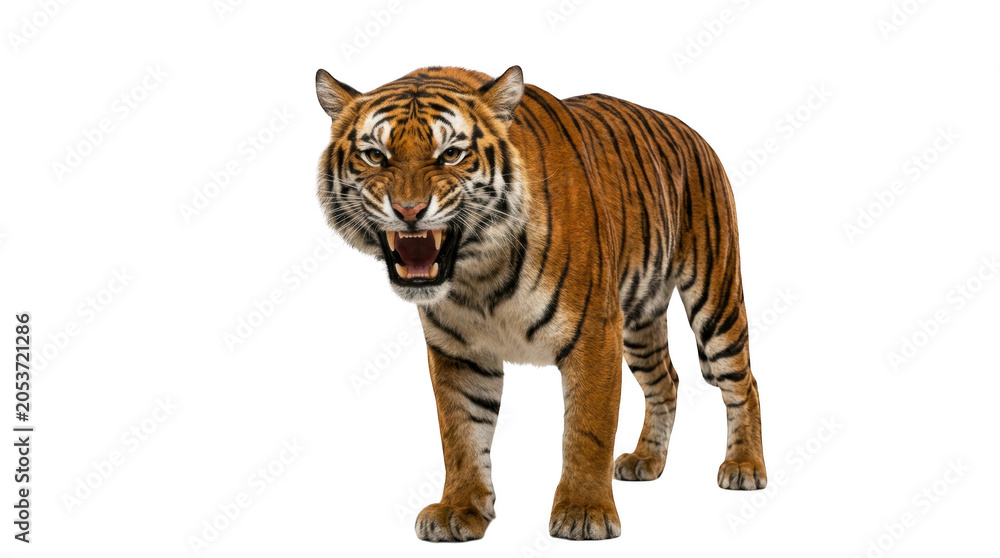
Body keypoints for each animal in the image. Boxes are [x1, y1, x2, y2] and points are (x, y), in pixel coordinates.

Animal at [315, 65, 766, 541]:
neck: (477, 273)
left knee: (744, 382)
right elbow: (461, 434)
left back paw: (744, 467)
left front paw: (584, 511)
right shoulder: (459, 351)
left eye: (451, 154)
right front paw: (460, 509)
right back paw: (647, 460)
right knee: (667, 381)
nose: (409, 211)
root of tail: (694, 133)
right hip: (640, 322)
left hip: (715, 298)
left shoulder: (594, 335)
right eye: (375, 155)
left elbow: (587, 429)